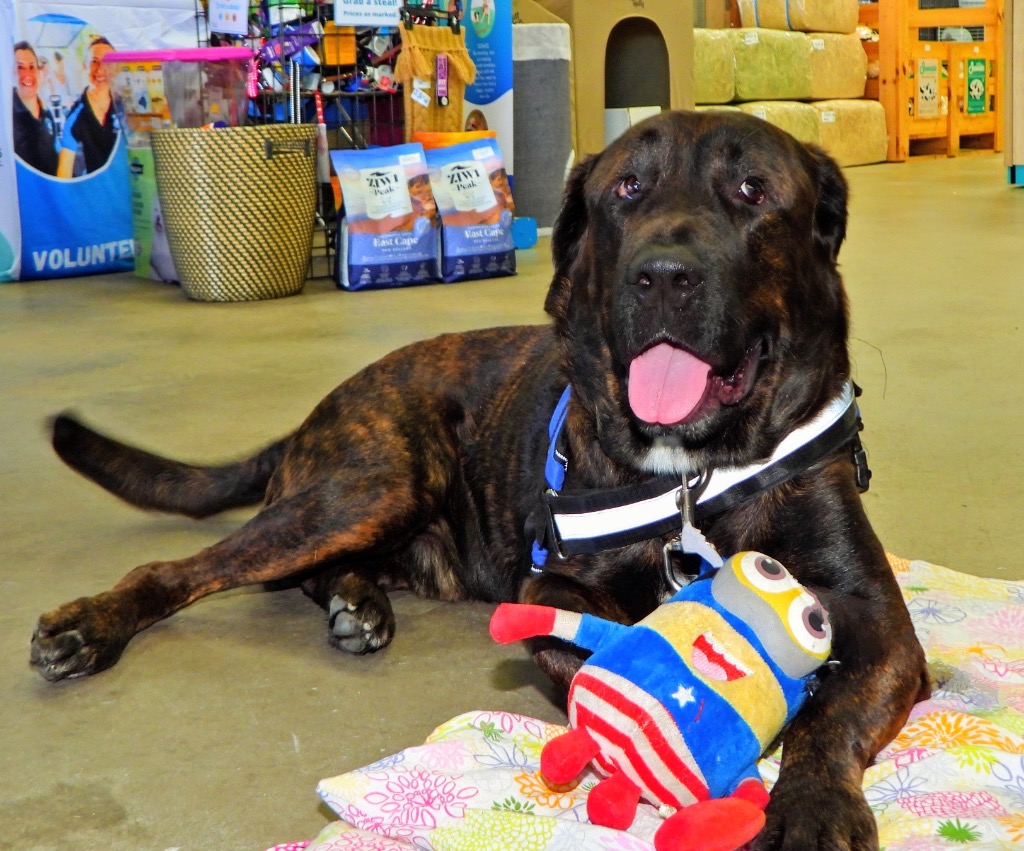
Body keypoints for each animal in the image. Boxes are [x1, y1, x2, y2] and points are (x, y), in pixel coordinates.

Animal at [30, 110, 927, 850]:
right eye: (627, 188)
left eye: (752, 190)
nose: (662, 274)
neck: (691, 476)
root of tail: (329, 401)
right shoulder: (546, 582)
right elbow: (600, 644)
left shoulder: (875, 621)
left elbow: (827, 719)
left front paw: (810, 806)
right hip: (376, 482)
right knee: (189, 567)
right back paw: (92, 625)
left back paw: (357, 602)